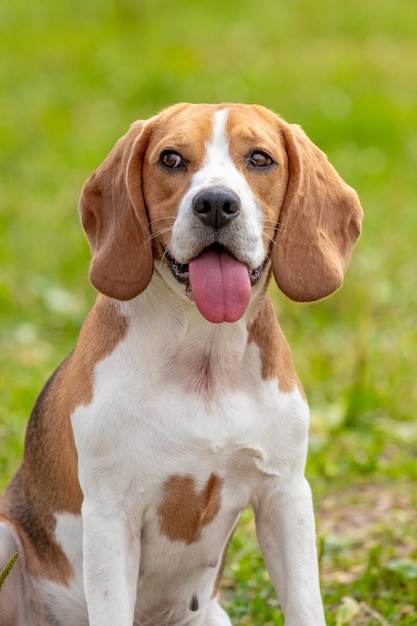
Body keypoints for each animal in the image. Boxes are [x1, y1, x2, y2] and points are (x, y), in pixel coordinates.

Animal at [0, 101, 362, 620]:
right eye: (170, 159)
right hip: (5, 537)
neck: (205, 357)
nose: (216, 203)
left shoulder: (286, 495)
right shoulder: (111, 514)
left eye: (260, 159)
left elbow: (305, 605)